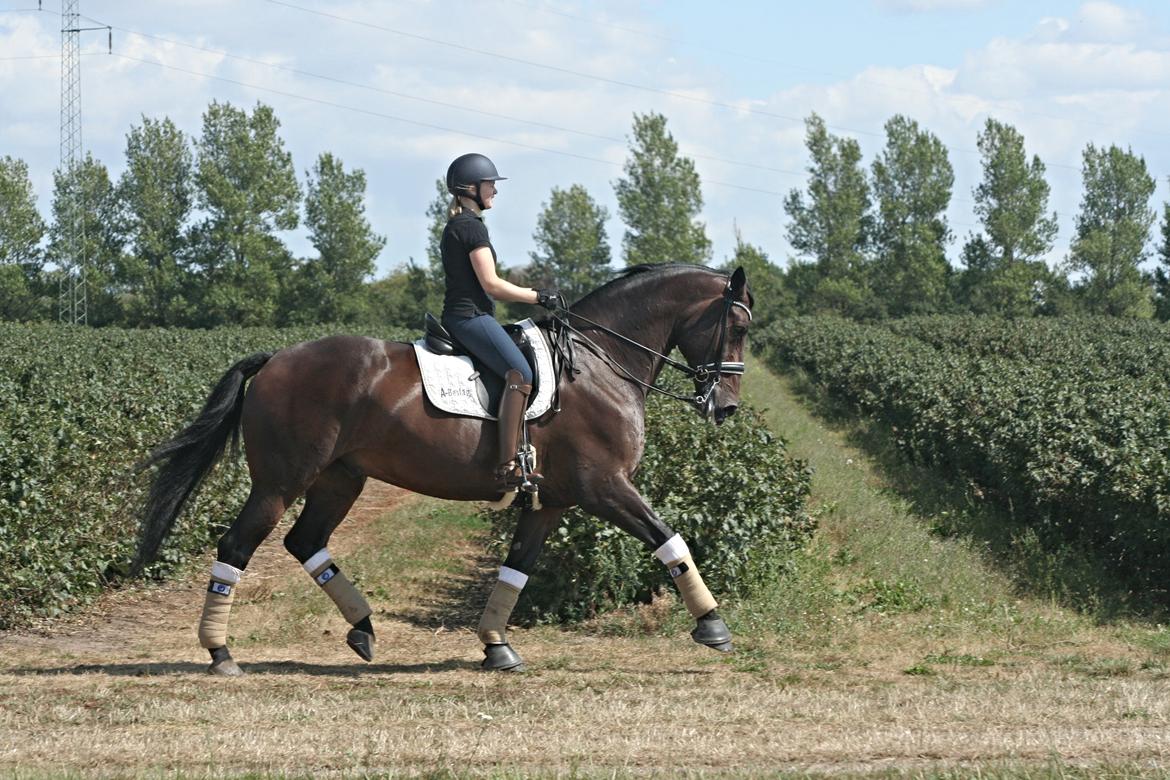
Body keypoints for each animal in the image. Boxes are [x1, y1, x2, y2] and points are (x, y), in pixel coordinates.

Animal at [132, 264, 753, 678]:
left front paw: (497, 645)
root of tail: (275, 360)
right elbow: (669, 539)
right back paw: (221, 653)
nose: (725, 407)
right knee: (236, 546)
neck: (601, 364)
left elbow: (516, 570)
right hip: (281, 482)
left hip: (341, 478)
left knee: (304, 541)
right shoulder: (604, 487)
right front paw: (714, 627)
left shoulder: (552, 501)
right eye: (740, 327)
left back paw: (363, 629)